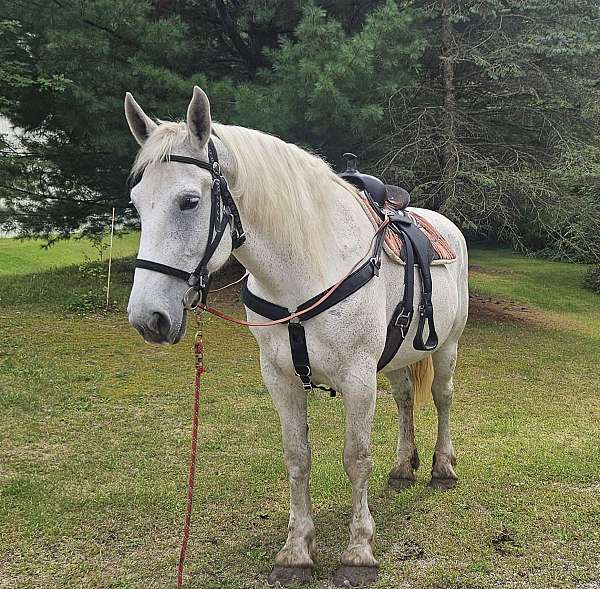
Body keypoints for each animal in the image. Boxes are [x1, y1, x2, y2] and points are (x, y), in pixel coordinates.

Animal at [125, 85, 468, 584]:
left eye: (189, 201)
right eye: (136, 203)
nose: (147, 317)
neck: (304, 269)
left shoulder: (358, 380)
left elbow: (356, 457)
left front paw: (358, 552)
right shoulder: (281, 379)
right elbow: (297, 457)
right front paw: (296, 551)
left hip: (447, 346)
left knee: (442, 398)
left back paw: (442, 467)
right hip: (396, 357)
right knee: (406, 399)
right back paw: (404, 466)